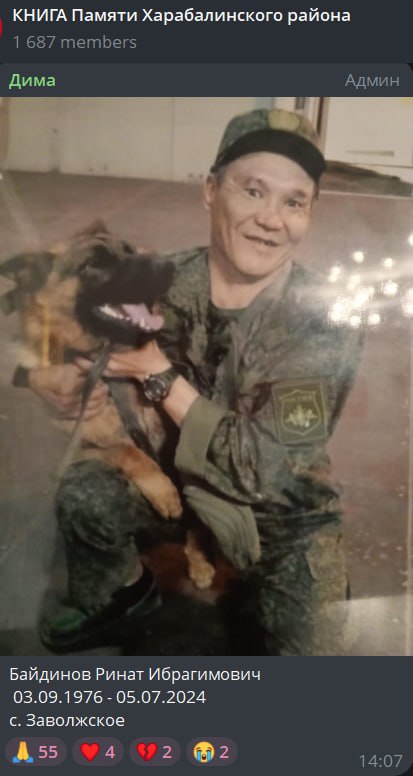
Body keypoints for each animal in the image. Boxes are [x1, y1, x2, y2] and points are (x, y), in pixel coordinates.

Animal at [1, 222, 215, 590]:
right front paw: (161, 488)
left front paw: (199, 559)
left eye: (129, 251)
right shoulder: (75, 451)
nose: (167, 266)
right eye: (92, 264)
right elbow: (123, 450)